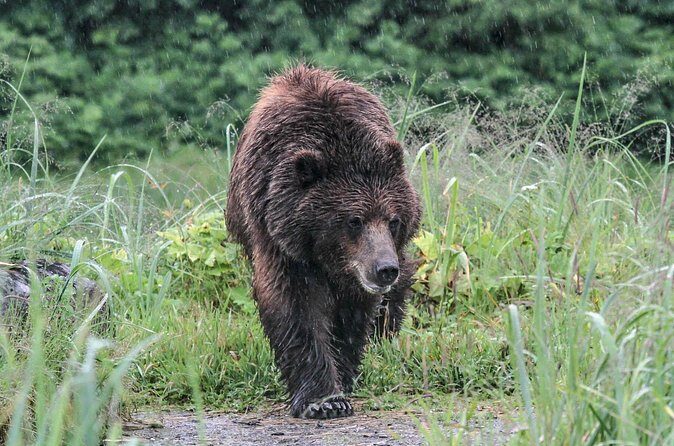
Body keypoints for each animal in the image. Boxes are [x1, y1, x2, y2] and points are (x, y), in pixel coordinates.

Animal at [225, 65, 421, 419]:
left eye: (393, 219)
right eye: (354, 220)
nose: (385, 269)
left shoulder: (358, 267)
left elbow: (352, 312)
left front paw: (343, 376)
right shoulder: (280, 242)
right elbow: (297, 308)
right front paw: (324, 399)